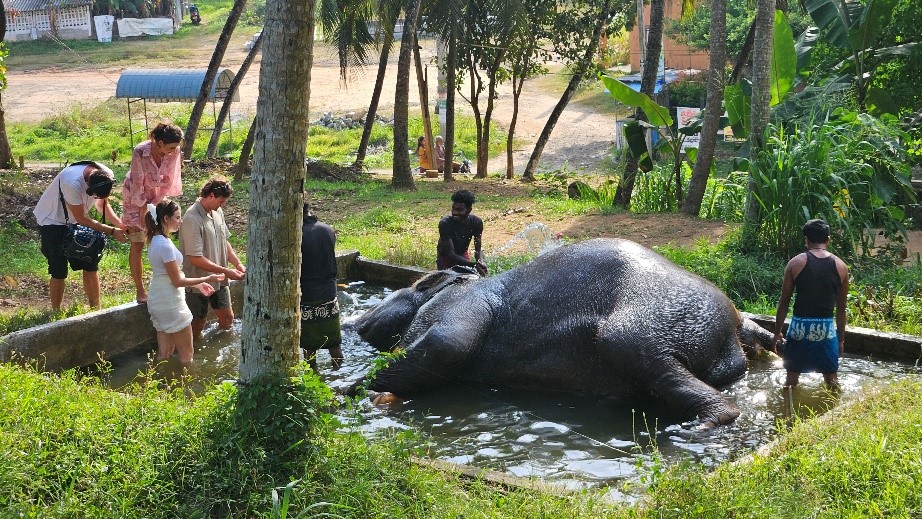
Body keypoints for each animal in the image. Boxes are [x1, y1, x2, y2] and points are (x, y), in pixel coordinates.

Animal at [352, 240, 768, 426]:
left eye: (405, 289)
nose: (357, 321)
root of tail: (734, 325)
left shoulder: (459, 302)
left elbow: (448, 344)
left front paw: (353, 392)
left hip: (647, 322)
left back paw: (700, 426)